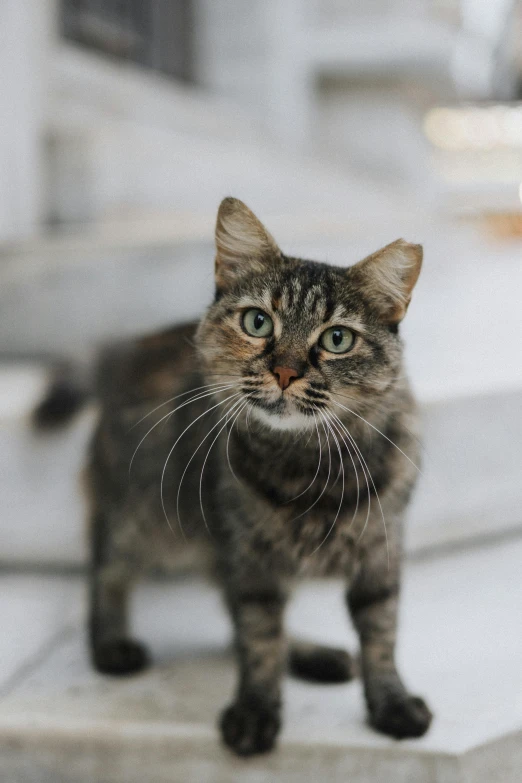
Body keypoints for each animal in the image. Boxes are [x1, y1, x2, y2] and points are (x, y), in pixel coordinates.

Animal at [37, 198, 430, 760]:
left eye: (337, 339)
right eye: (258, 322)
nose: (286, 372)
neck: (306, 468)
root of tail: (127, 351)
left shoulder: (381, 551)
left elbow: (381, 636)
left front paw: (391, 705)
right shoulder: (250, 559)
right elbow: (259, 640)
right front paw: (255, 713)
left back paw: (313, 655)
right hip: (139, 514)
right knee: (106, 572)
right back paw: (110, 644)